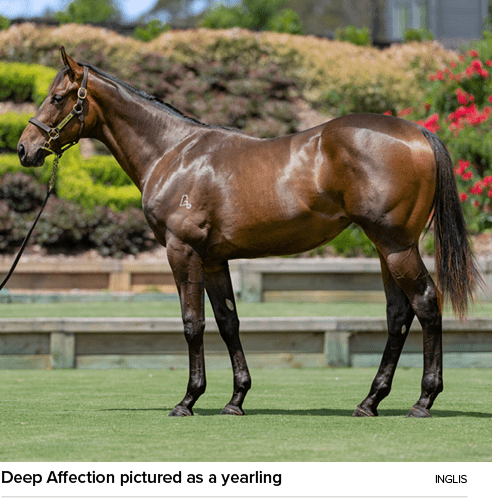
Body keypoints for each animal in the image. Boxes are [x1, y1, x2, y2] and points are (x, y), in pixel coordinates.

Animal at [17, 49, 478, 418]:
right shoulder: (213, 259)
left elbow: (192, 323)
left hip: (395, 245)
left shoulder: (182, 251)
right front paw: (235, 399)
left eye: (57, 97)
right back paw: (370, 401)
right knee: (398, 314)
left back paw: (423, 401)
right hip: (387, 247)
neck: (173, 152)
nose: (25, 149)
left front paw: (188, 401)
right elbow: (227, 322)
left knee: (426, 303)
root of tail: (418, 134)